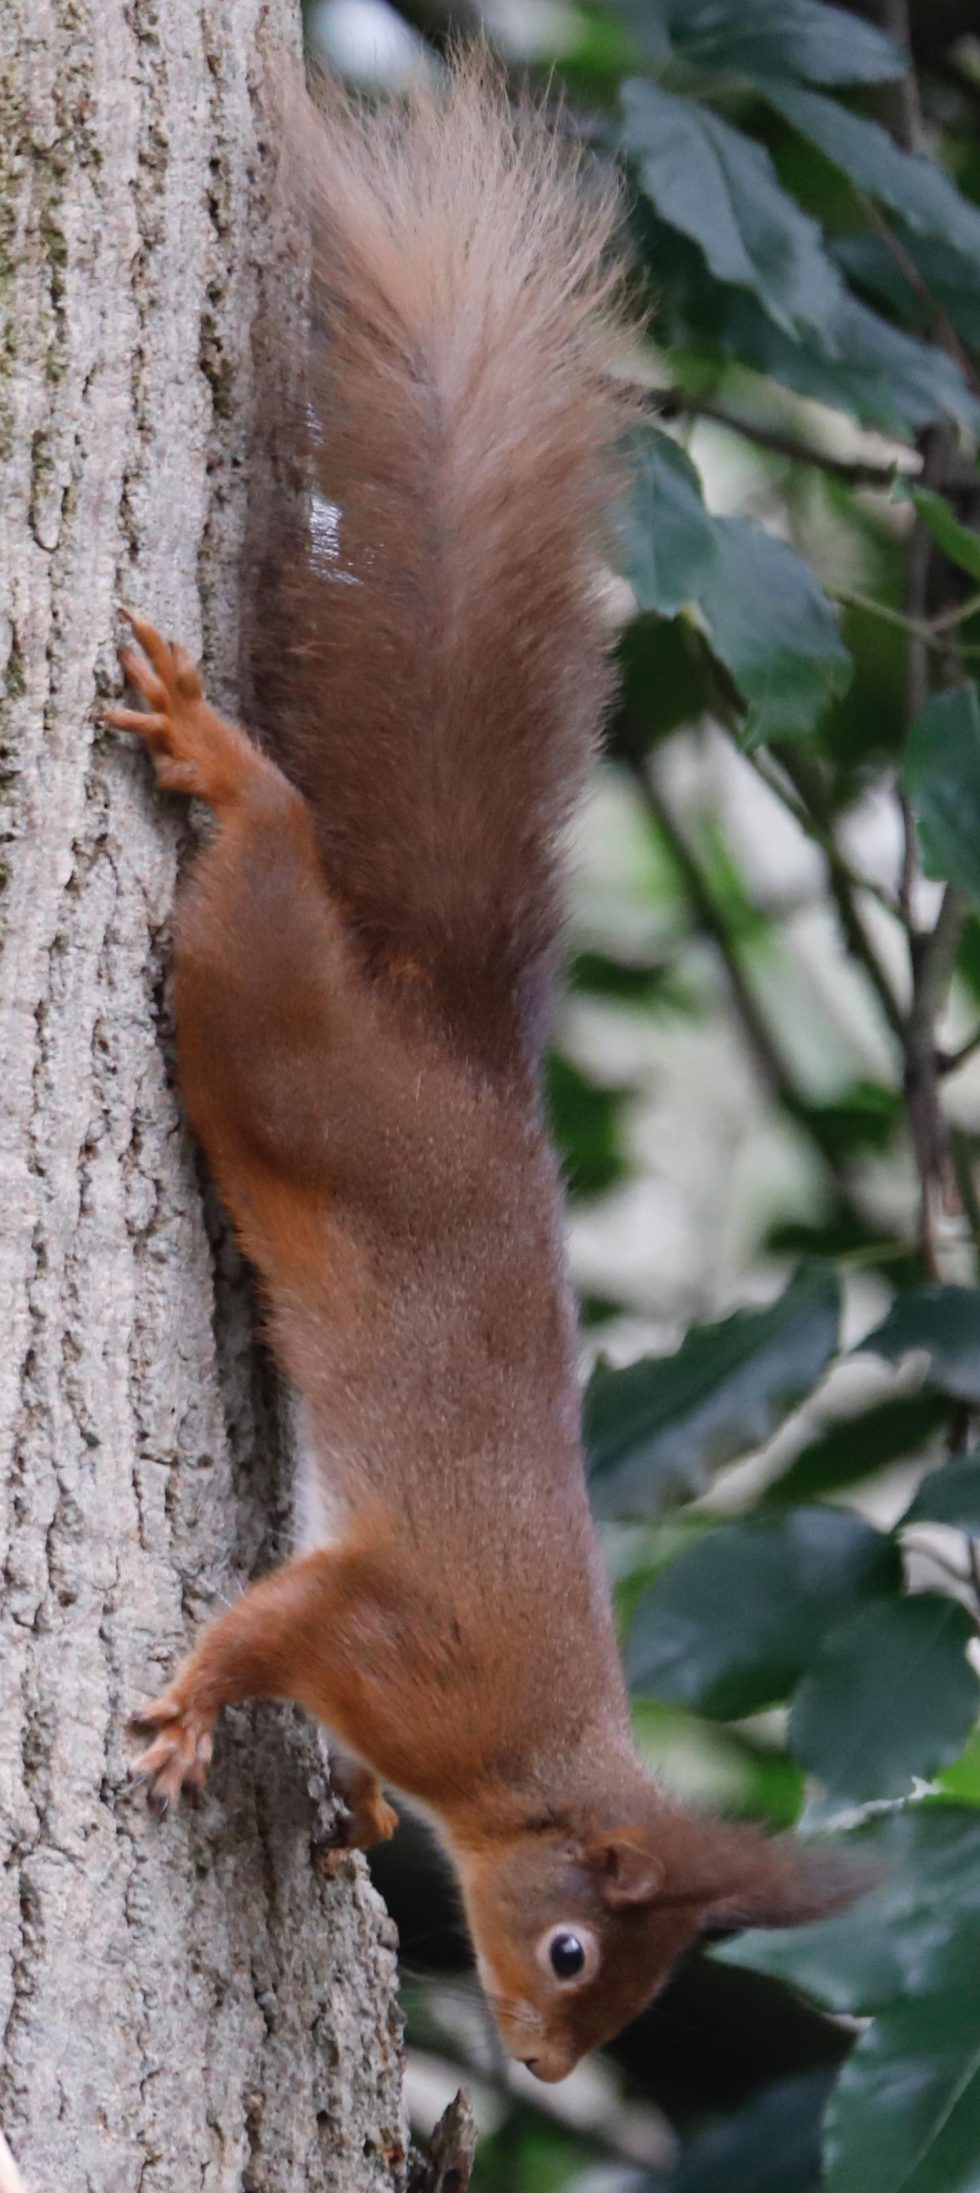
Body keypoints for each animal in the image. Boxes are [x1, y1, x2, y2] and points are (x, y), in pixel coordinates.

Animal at [107, 51, 855, 2070]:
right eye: (583, 1950)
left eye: (635, 1987)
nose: (539, 2058)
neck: (525, 1770)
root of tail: (448, 1036)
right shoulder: (396, 1635)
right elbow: (271, 1631)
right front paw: (194, 1707)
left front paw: (352, 1806)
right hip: (271, 1019)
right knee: (263, 876)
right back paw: (222, 761)